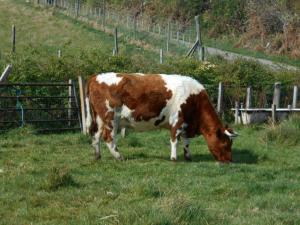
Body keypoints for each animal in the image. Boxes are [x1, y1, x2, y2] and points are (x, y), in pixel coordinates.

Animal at [84, 73, 237, 163]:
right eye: (225, 144)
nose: (230, 160)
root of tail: (95, 77)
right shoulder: (177, 120)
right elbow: (175, 140)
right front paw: (174, 158)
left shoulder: (187, 124)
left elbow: (186, 142)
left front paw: (188, 156)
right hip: (110, 117)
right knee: (108, 137)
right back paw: (119, 156)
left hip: (99, 118)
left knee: (95, 135)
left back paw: (97, 156)